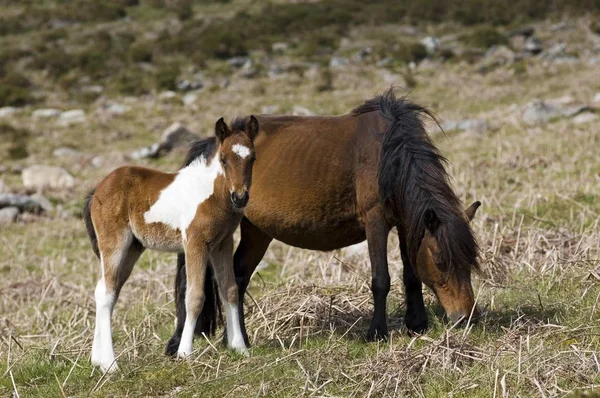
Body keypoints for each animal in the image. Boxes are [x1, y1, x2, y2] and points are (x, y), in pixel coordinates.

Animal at [82, 116, 258, 372]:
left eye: (252, 158)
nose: (240, 197)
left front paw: (240, 348)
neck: (211, 193)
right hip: (114, 244)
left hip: (132, 249)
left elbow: (230, 290)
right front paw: (185, 353)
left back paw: (97, 359)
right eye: (224, 159)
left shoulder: (222, 243)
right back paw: (110, 364)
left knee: (105, 290)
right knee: (106, 293)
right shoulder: (195, 243)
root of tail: (96, 190)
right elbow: (194, 296)